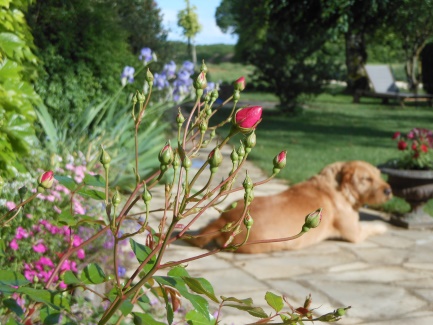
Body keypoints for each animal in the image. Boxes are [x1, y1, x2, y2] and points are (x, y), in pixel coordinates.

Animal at [187, 160, 390, 253]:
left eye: (379, 175)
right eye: (367, 179)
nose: (389, 190)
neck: (336, 186)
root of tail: (224, 220)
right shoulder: (355, 232)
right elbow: (372, 226)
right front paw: (382, 226)